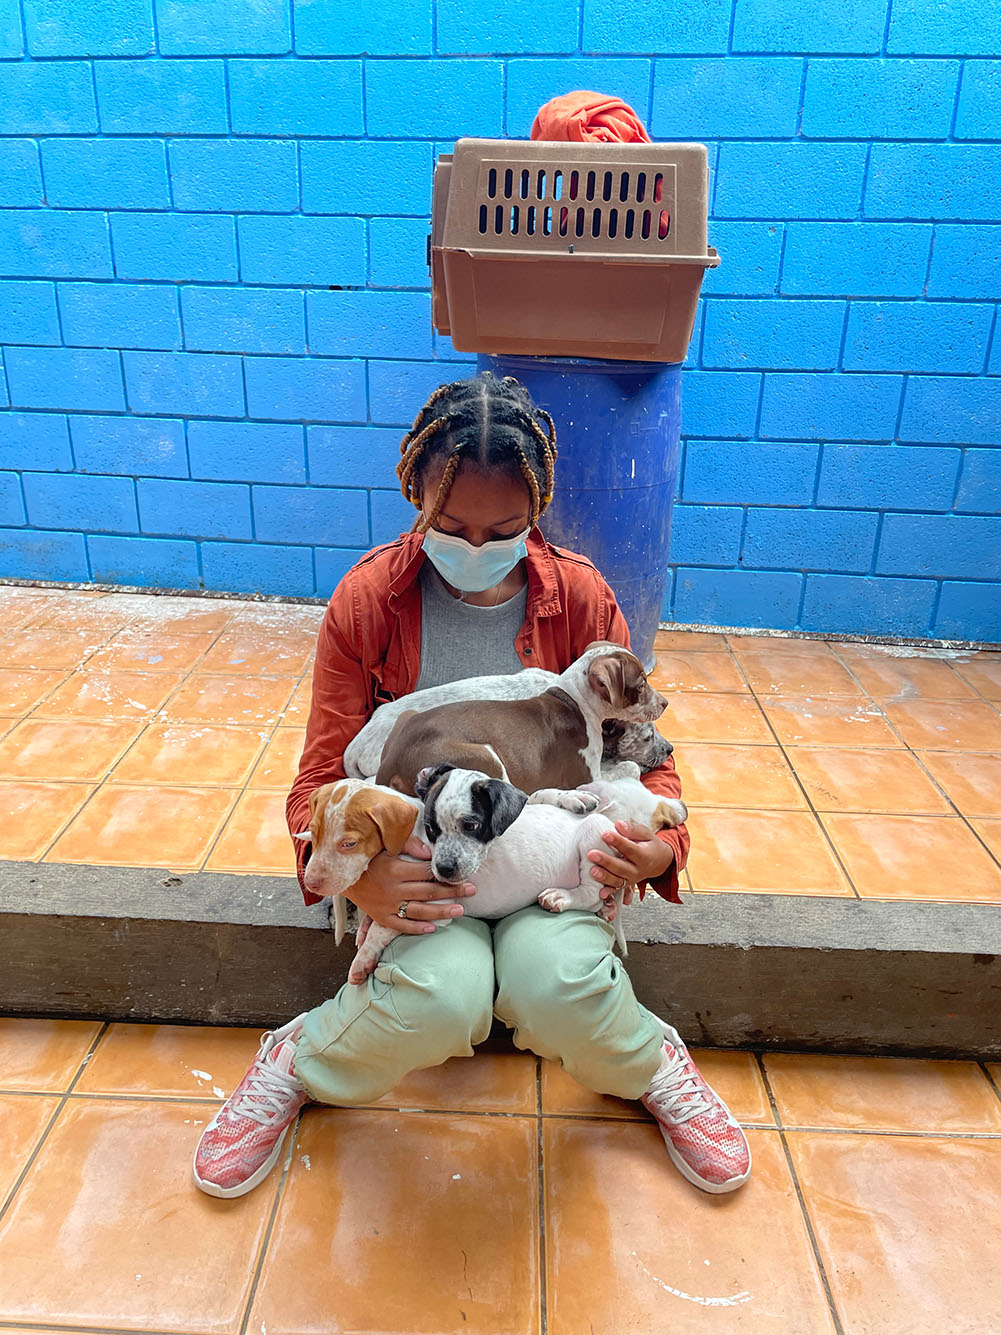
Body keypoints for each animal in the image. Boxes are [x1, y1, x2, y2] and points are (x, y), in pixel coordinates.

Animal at [376, 640, 667, 795]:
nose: (665, 703)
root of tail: (389, 766)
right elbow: (627, 767)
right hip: (484, 756)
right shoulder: (586, 779)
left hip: (408, 716)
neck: (574, 701)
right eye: (642, 683)